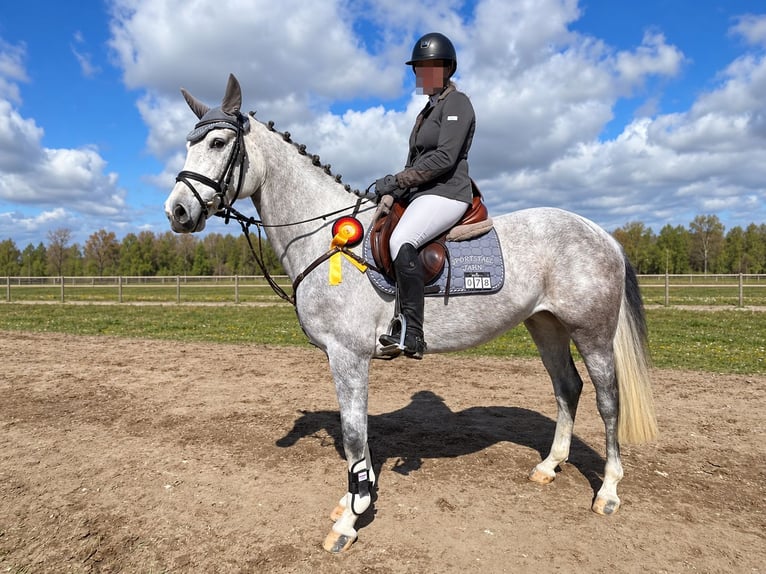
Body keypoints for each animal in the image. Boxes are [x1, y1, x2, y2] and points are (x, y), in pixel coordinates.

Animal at [164, 74, 658, 553]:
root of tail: (602, 233)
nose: (177, 211)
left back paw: (608, 492)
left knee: (607, 400)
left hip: (591, 331)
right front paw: (356, 497)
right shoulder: (346, 359)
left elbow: (353, 433)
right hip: (546, 325)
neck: (326, 238)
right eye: (189, 143)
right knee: (566, 387)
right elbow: (358, 435)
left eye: (218, 143)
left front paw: (349, 520)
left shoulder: (348, 356)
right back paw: (549, 466)